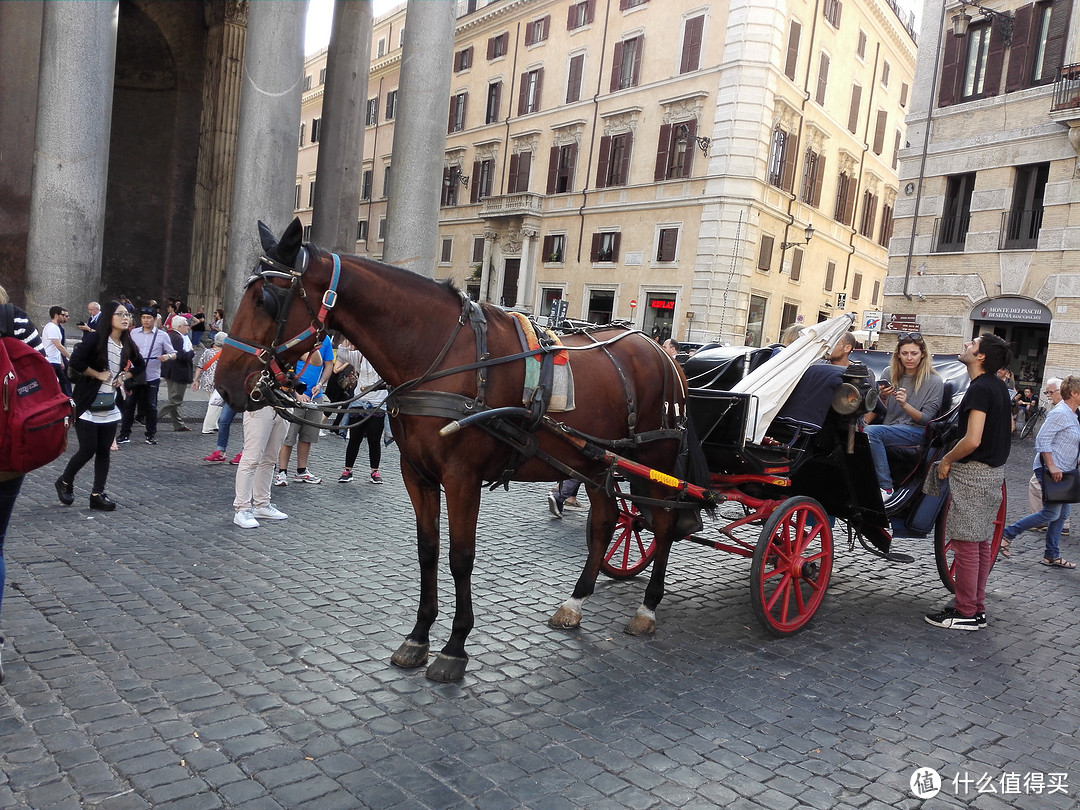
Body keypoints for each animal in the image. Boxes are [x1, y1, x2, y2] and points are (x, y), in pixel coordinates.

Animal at [218, 219, 686, 682]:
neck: (438, 357)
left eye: (266, 300)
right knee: (606, 521)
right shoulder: (416, 473)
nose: (225, 383)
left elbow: (461, 557)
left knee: (664, 524)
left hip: (656, 460)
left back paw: (647, 607)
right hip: (594, 462)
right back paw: (575, 601)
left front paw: (455, 646)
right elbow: (427, 550)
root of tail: (661, 351)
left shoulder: (463, 477)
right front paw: (418, 636)